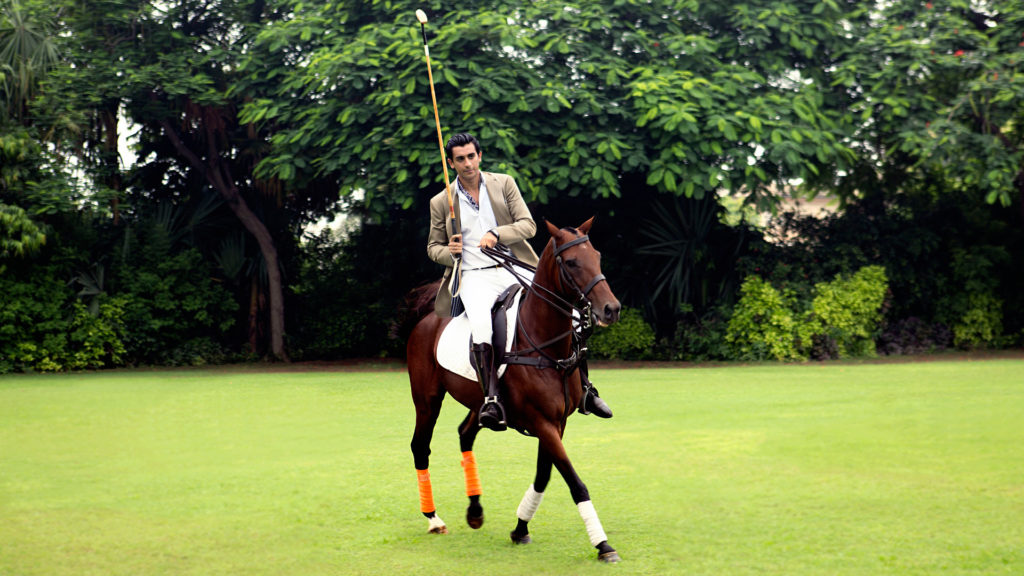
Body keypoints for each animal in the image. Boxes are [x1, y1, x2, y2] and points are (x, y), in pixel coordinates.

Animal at [405, 216, 622, 561]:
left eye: (597, 256)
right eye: (572, 262)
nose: (610, 309)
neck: (547, 345)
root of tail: (427, 319)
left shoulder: (557, 423)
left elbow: (544, 475)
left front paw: (520, 528)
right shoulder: (542, 421)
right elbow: (574, 482)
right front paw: (603, 545)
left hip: (477, 400)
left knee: (466, 433)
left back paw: (475, 511)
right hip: (427, 399)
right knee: (420, 446)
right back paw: (433, 518)